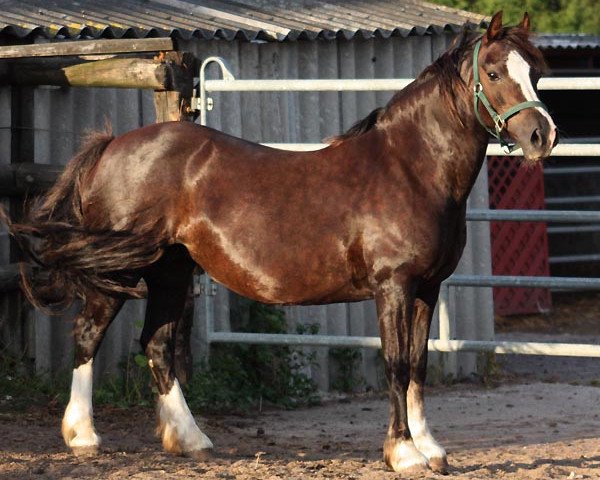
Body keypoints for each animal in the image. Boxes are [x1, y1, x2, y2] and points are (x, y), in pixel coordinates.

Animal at [3, 12, 556, 476]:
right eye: (492, 72)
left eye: (535, 71)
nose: (541, 136)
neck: (409, 168)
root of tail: (110, 147)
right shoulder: (393, 288)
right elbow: (397, 366)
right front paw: (403, 453)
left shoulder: (427, 288)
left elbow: (418, 365)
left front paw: (431, 449)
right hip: (119, 271)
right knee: (87, 335)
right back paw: (83, 437)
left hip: (171, 270)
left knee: (157, 346)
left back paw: (191, 440)